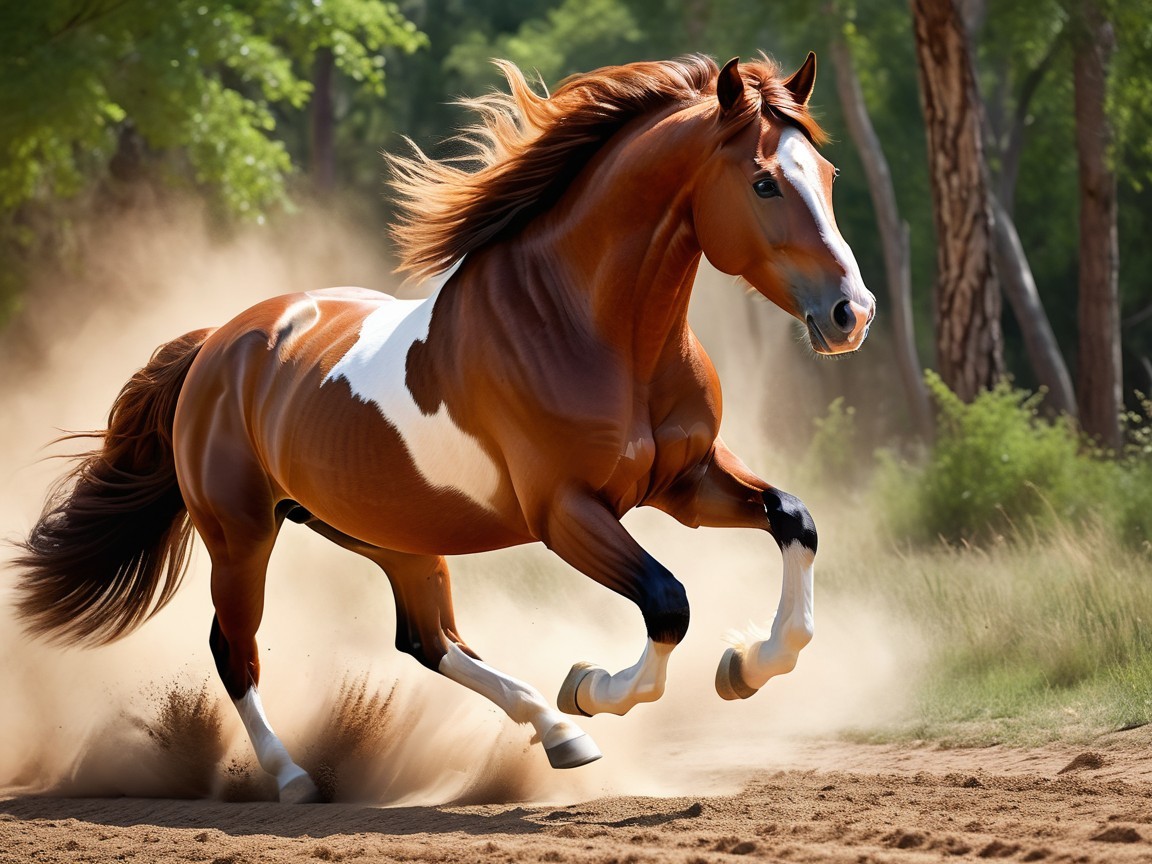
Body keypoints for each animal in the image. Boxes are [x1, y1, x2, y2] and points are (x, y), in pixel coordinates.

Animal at [14, 53, 874, 803]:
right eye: (764, 182)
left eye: (827, 176)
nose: (851, 313)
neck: (594, 328)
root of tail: (218, 346)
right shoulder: (567, 512)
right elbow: (668, 600)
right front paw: (595, 687)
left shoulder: (686, 481)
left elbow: (794, 520)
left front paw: (747, 665)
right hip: (241, 534)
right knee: (237, 651)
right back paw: (296, 779)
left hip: (390, 533)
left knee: (428, 642)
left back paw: (558, 735)